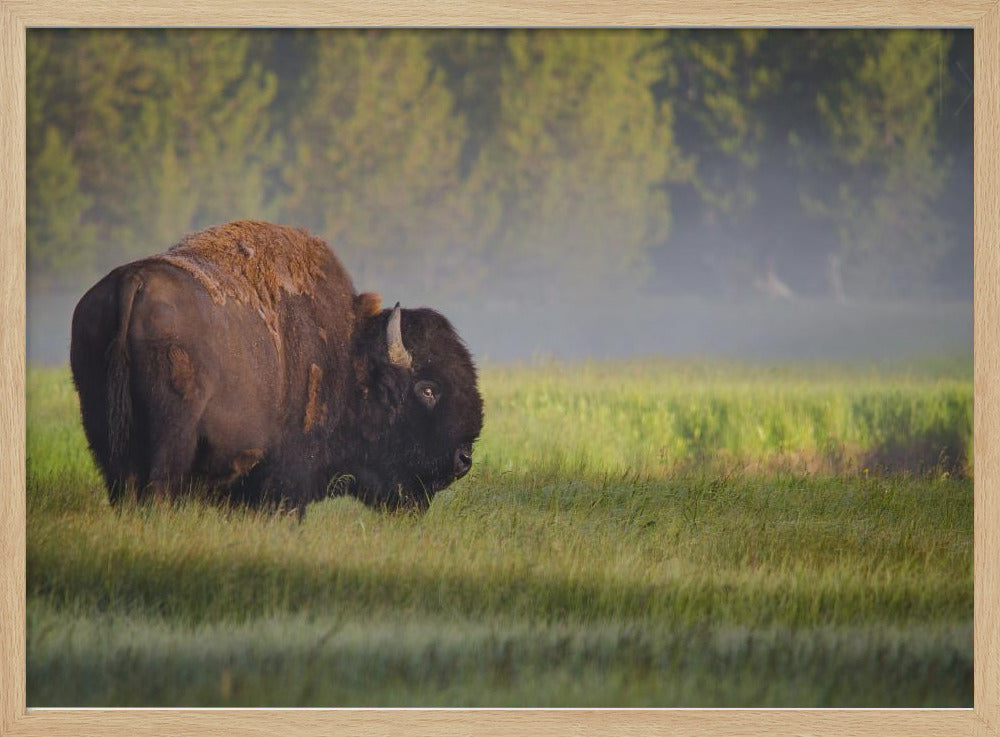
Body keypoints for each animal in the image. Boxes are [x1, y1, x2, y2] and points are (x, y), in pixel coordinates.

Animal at [70, 220, 484, 511]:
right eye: (427, 388)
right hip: (171, 438)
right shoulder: (288, 474)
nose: (463, 460)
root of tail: (133, 282)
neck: (347, 352)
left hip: (103, 430)